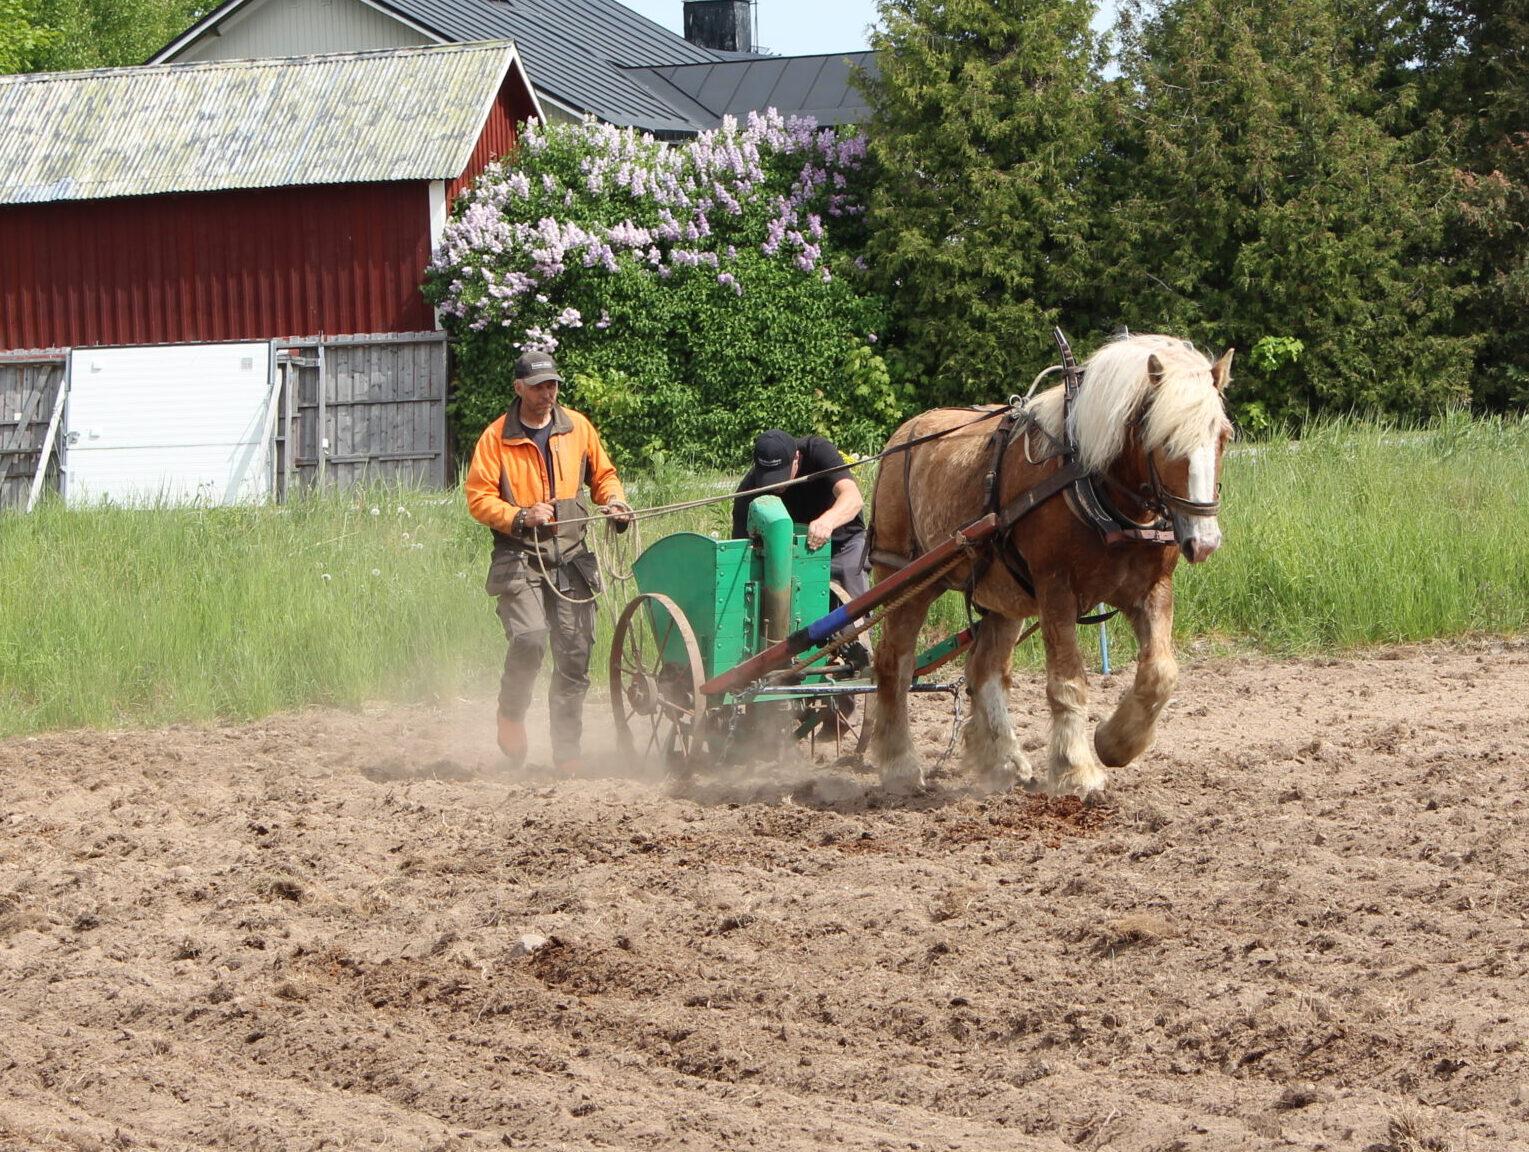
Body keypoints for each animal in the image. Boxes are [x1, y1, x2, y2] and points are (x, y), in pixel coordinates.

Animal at [868, 331, 1235, 795]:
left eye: (1223, 436)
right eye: (1166, 439)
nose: (1204, 541)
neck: (1092, 483)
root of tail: (902, 435)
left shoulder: (1152, 590)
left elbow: (1160, 674)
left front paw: (1114, 743)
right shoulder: (1056, 588)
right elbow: (1067, 682)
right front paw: (1076, 768)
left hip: (1002, 593)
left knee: (985, 670)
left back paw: (1004, 761)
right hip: (904, 578)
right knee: (893, 665)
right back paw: (900, 766)